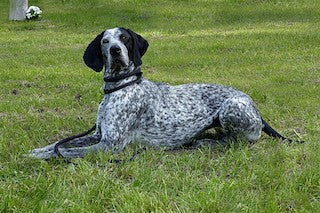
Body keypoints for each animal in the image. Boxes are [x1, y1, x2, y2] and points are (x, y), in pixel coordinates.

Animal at [29, 27, 300, 159]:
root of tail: (256, 109)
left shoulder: (109, 145)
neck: (121, 86)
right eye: (105, 41)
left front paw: (33, 157)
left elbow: (65, 151)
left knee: (241, 140)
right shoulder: (98, 136)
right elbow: (60, 144)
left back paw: (206, 142)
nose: (115, 50)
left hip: (230, 107)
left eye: (124, 38)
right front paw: (36, 150)